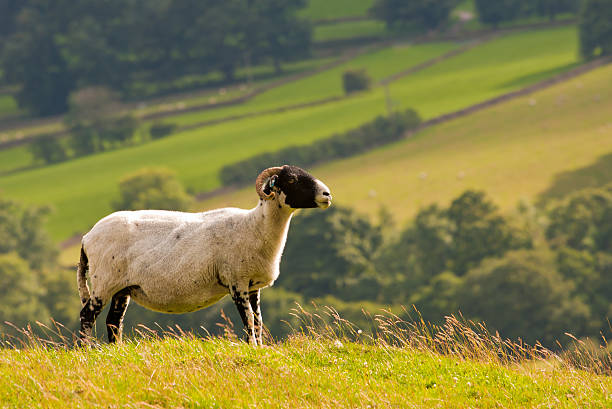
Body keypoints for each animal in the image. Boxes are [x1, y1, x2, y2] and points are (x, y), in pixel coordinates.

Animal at [79, 164, 334, 342]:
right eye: (291, 179)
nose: (327, 195)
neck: (253, 227)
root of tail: (86, 237)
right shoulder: (237, 282)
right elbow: (249, 321)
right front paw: (252, 348)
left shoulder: (253, 286)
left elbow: (259, 322)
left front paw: (261, 349)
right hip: (103, 282)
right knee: (87, 315)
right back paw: (85, 352)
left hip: (122, 288)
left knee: (114, 322)